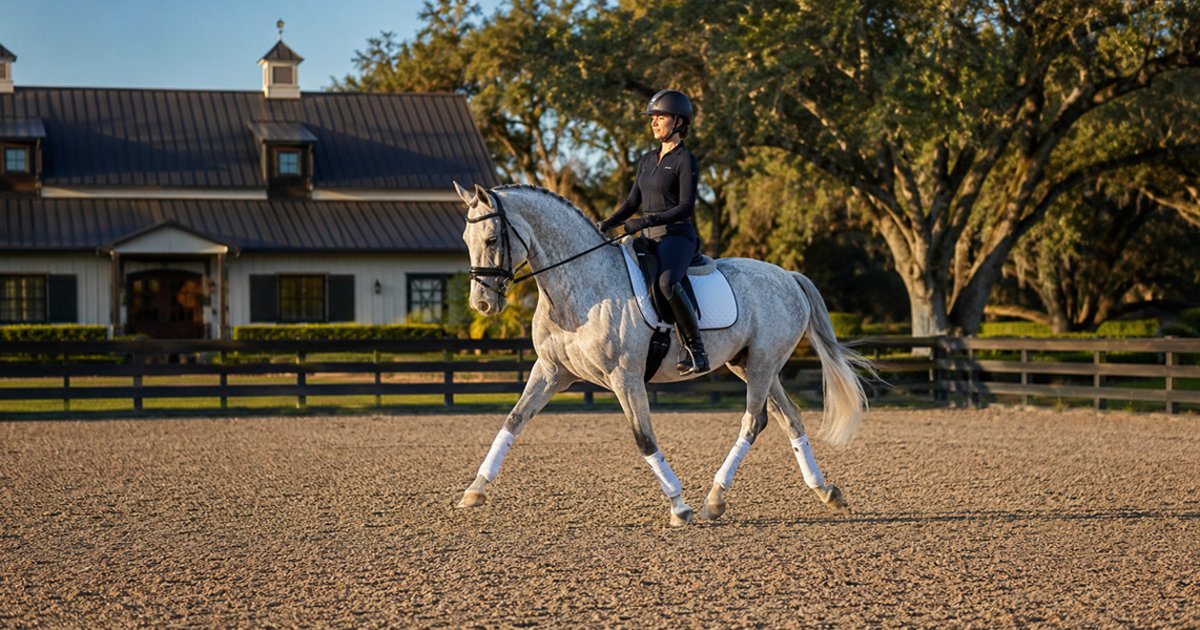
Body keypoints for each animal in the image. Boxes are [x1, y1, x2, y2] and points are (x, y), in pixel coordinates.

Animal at [453, 182, 872, 526]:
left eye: (492, 238)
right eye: (465, 239)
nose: (482, 304)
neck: (577, 288)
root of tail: (788, 276)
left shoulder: (625, 377)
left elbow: (644, 438)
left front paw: (679, 505)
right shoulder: (552, 371)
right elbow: (513, 420)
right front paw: (474, 490)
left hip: (762, 364)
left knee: (754, 421)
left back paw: (714, 499)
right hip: (749, 364)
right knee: (791, 419)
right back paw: (825, 491)